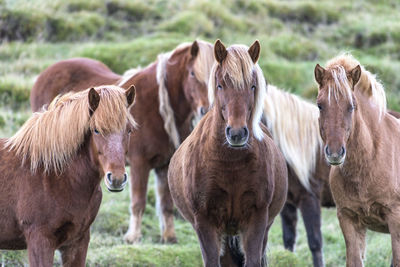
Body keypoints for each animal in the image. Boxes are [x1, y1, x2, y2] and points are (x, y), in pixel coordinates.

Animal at [30, 40, 216, 245]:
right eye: (192, 73)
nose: (206, 109)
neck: (157, 107)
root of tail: (44, 75)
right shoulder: (139, 163)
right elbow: (138, 202)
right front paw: (133, 237)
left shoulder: (165, 164)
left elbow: (166, 204)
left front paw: (169, 237)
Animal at [169, 39, 288, 267]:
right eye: (220, 85)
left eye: (253, 86)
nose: (237, 133)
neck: (230, 164)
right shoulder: (205, 222)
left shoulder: (257, 220)